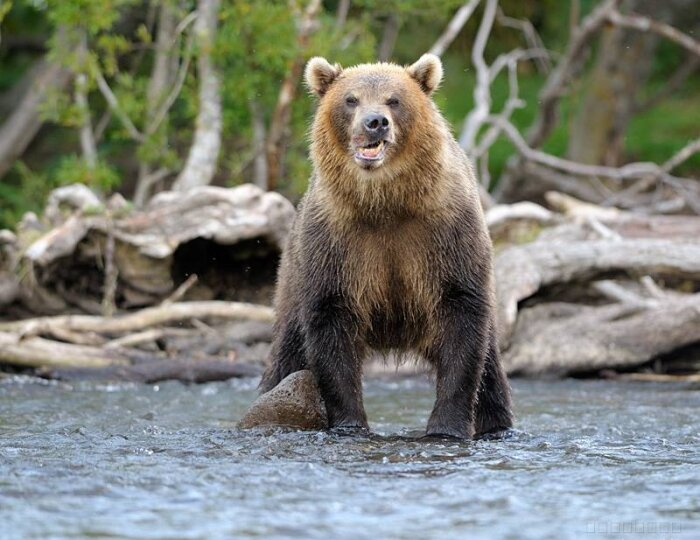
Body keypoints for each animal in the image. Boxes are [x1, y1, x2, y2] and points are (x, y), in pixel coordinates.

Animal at [260, 53, 512, 438]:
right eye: (351, 99)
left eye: (394, 99)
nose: (375, 122)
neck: (385, 202)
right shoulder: (336, 240)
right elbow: (330, 322)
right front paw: (349, 422)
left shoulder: (447, 231)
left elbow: (462, 318)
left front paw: (446, 426)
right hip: (292, 276)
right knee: (287, 357)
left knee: (491, 370)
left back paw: (496, 424)